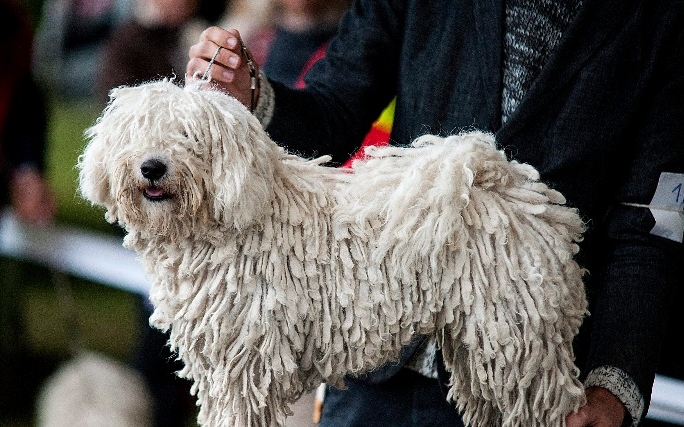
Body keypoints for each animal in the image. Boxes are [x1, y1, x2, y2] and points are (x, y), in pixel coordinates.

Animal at [75, 80, 588, 427]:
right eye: (137, 134)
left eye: (189, 137)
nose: (151, 167)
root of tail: (508, 186)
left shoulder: (245, 363)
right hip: (485, 348)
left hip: (517, 337)